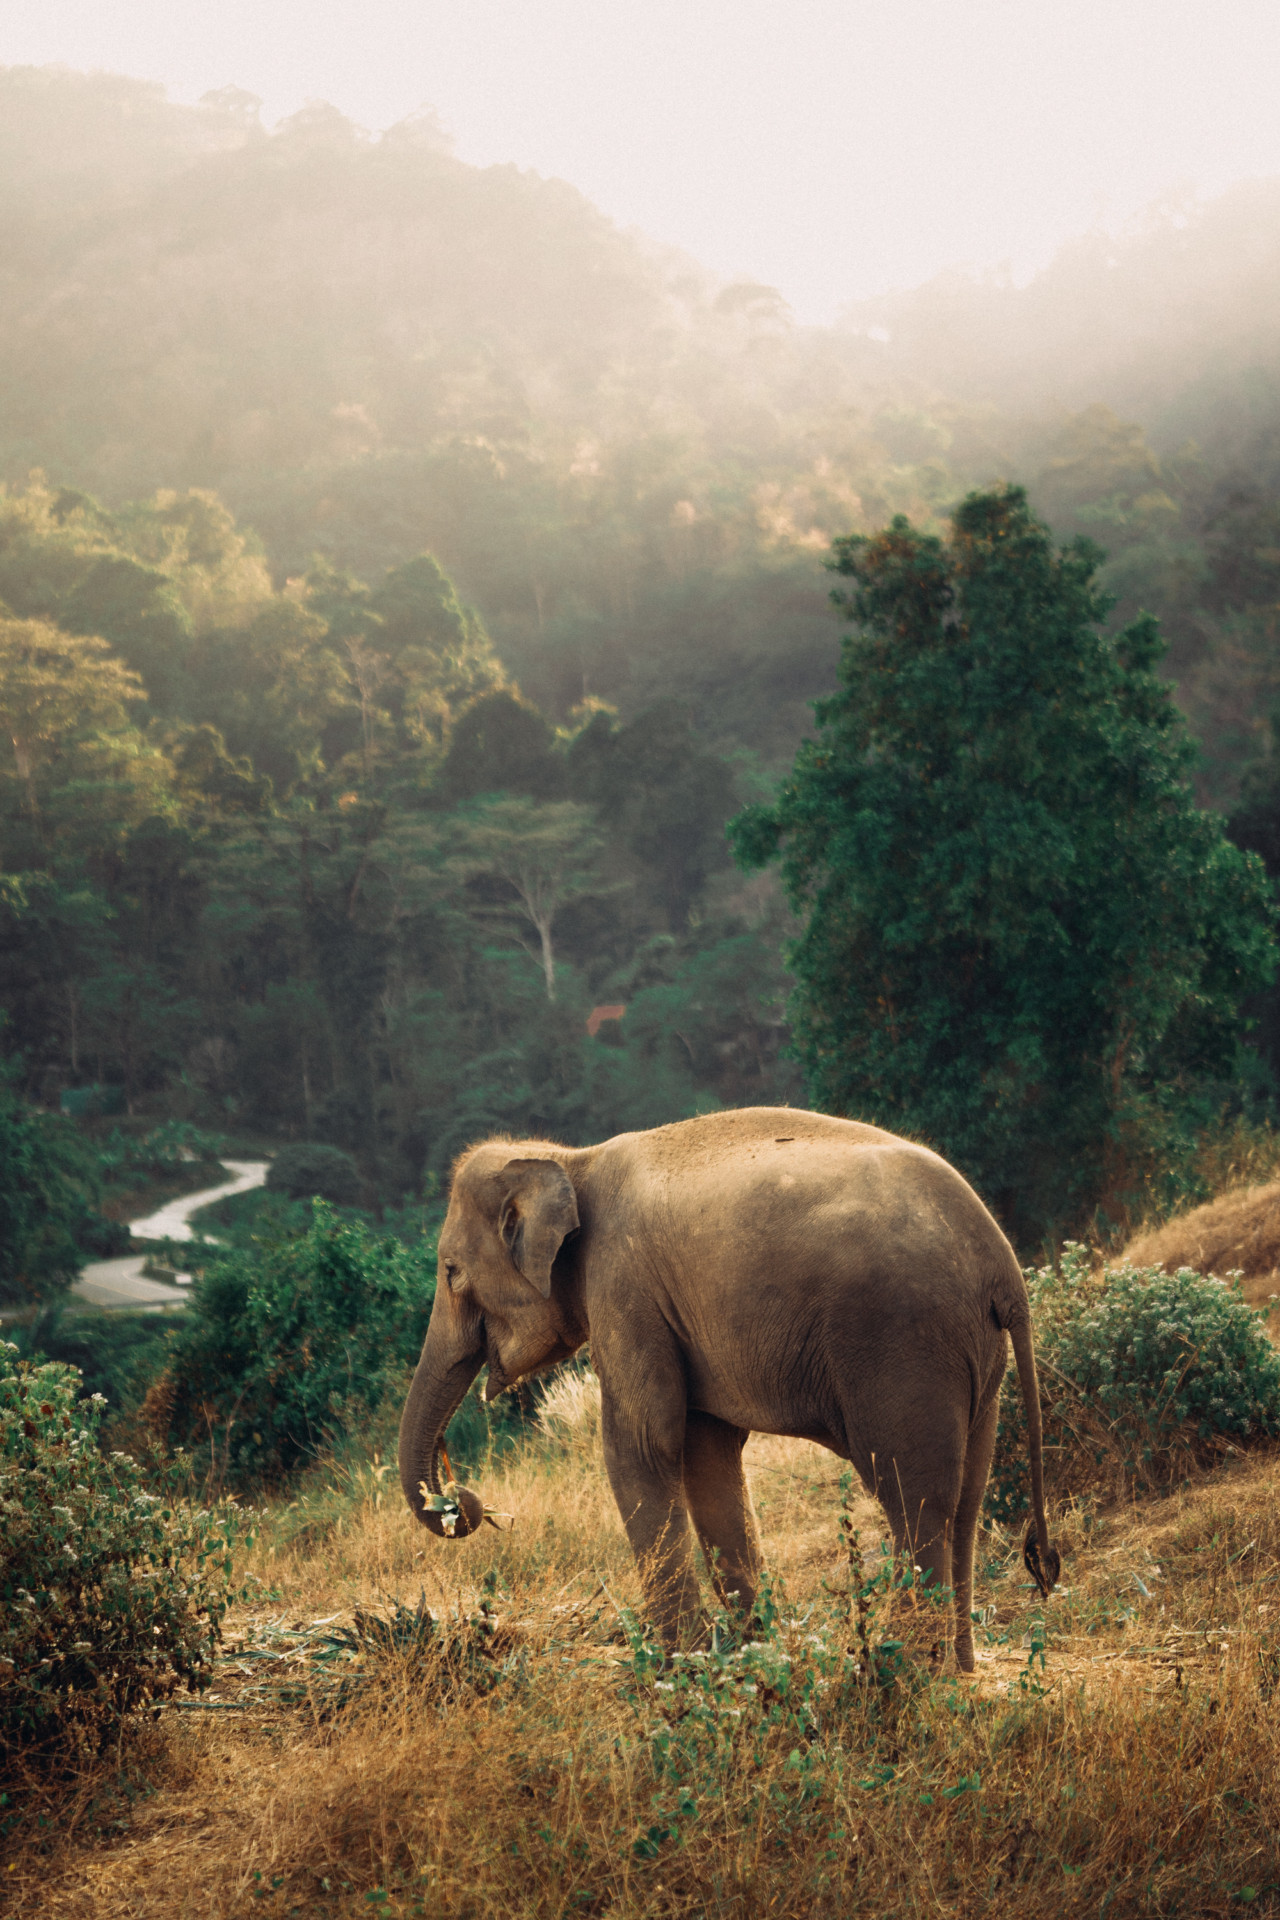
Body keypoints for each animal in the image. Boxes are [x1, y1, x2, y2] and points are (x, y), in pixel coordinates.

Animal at [401, 1105, 1059, 1674]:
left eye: (450, 1272)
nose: (461, 1500)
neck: (568, 1160)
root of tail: (1004, 1269)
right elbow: (707, 1457)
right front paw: (751, 1657)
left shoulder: (624, 1287)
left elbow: (643, 1445)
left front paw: (677, 1668)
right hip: (974, 1356)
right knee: (966, 1497)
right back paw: (960, 1668)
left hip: (903, 1343)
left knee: (914, 1497)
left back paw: (909, 1671)